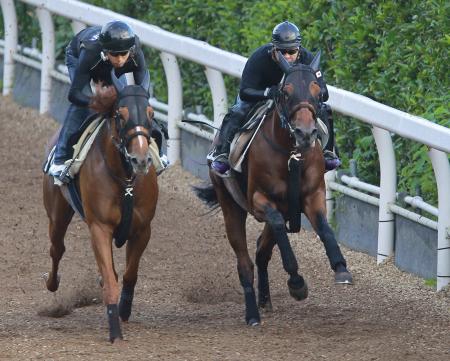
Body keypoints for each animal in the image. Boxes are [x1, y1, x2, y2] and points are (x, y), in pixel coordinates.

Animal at [42, 69, 158, 340]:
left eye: (151, 113)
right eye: (120, 115)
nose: (140, 159)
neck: (126, 181)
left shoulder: (142, 229)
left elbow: (129, 274)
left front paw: (124, 309)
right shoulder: (100, 228)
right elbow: (111, 280)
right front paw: (114, 330)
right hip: (57, 214)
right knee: (57, 248)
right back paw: (52, 282)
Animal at [195, 52, 354, 324]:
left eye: (317, 91)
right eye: (285, 92)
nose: (305, 133)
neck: (291, 155)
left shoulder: (312, 196)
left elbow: (324, 227)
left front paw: (341, 268)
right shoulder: (260, 201)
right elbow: (280, 228)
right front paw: (297, 283)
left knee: (261, 250)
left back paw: (265, 300)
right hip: (230, 205)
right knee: (245, 262)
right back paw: (252, 314)